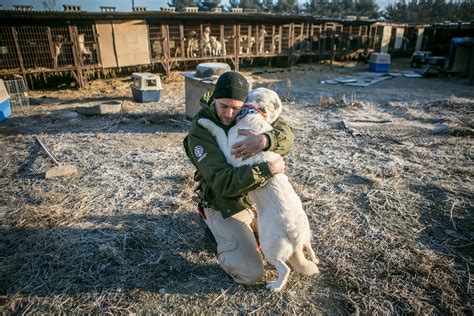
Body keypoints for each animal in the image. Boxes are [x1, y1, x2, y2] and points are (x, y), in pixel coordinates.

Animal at [198, 86, 320, 292]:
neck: (254, 114)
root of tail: (296, 236)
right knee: (309, 248)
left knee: (285, 268)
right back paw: (314, 258)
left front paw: (204, 122)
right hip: (306, 235)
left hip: (268, 245)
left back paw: (275, 286)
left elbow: (219, 131)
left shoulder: (230, 152)